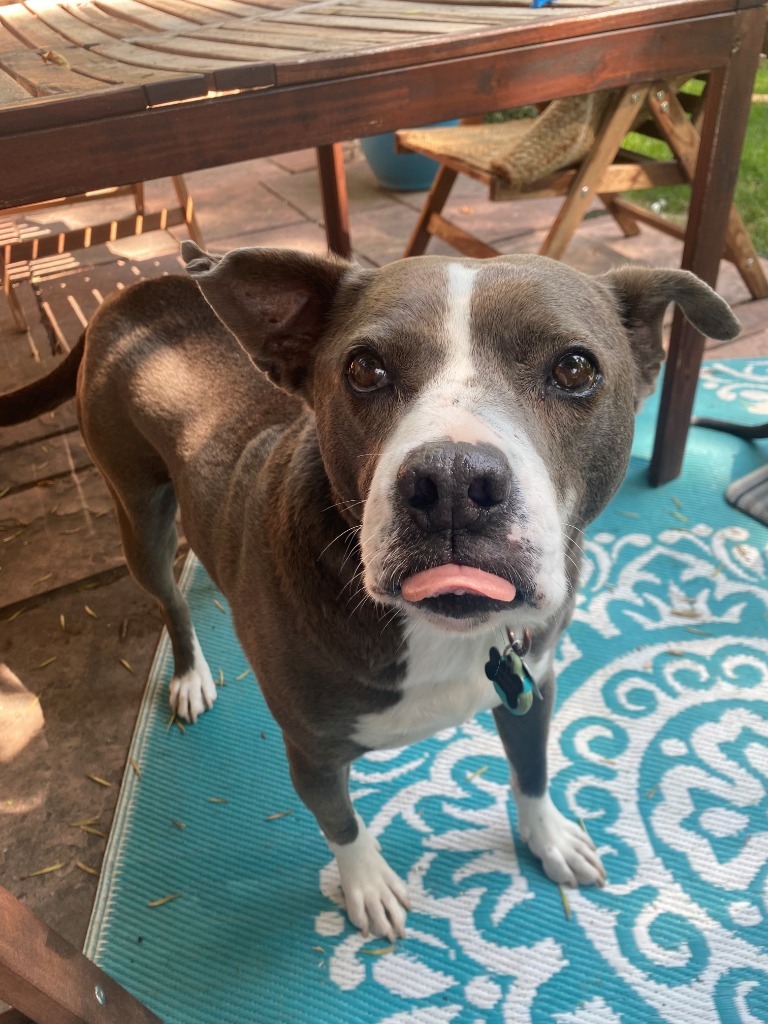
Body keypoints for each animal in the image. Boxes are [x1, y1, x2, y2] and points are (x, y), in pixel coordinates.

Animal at [1, 245, 745, 937]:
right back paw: (188, 673)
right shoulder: (312, 753)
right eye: (364, 369)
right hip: (140, 516)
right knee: (169, 598)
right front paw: (368, 885)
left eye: (575, 368)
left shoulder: (533, 685)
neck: (441, 635)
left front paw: (549, 837)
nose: (452, 482)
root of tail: (132, 292)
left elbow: (532, 772)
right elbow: (343, 824)